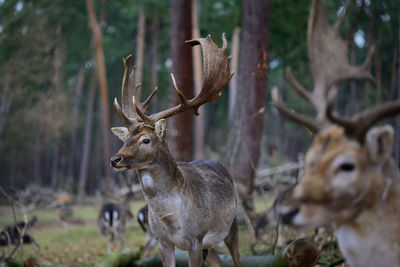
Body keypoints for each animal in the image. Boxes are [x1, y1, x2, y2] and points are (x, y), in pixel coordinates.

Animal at [109, 35, 242, 267]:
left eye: (146, 139)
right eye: (125, 139)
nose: (115, 159)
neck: (172, 219)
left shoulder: (196, 239)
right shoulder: (162, 241)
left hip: (231, 225)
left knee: (237, 258)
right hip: (210, 245)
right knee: (217, 261)